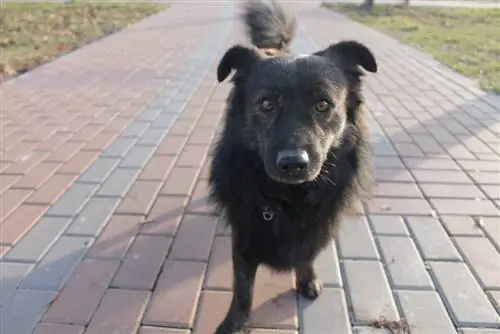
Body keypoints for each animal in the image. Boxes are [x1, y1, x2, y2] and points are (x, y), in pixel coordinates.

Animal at [209, 1, 376, 332]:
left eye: (323, 105)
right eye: (267, 104)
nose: (293, 164)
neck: (289, 197)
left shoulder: (318, 224)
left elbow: (307, 254)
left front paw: (307, 279)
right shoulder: (245, 232)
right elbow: (243, 288)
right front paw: (235, 322)